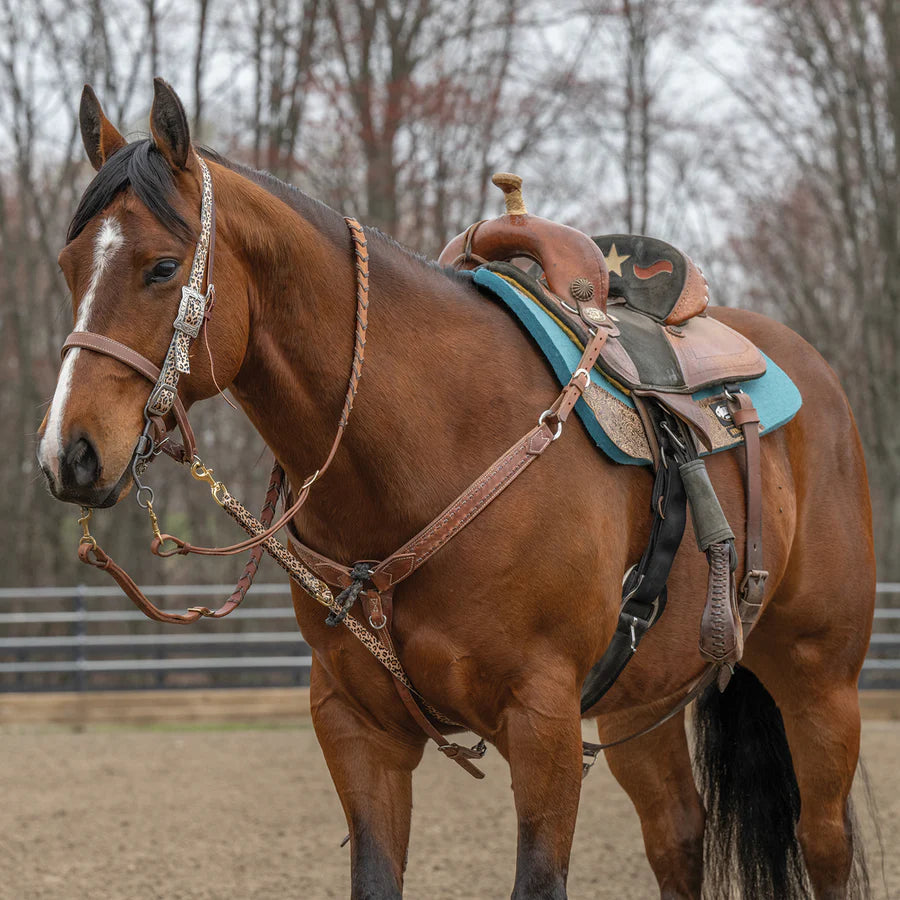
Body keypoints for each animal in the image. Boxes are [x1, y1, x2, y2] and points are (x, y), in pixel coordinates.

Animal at [37, 79, 874, 899]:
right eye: (68, 267)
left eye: (161, 267)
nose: (67, 454)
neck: (432, 446)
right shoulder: (356, 729)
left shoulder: (543, 724)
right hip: (647, 700)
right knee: (677, 838)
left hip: (819, 680)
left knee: (824, 841)